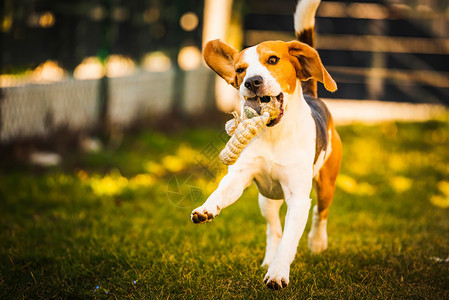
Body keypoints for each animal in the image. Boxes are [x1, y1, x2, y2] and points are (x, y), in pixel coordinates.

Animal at [191, 0, 342, 290]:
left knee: (320, 213)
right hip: (267, 199)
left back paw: (317, 243)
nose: (252, 82)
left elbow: (291, 240)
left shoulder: (298, 198)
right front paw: (206, 208)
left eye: (272, 60)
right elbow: (221, 192)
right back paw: (268, 258)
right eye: (240, 70)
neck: (275, 134)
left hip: (326, 184)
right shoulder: (239, 177)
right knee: (273, 229)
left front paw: (278, 273)